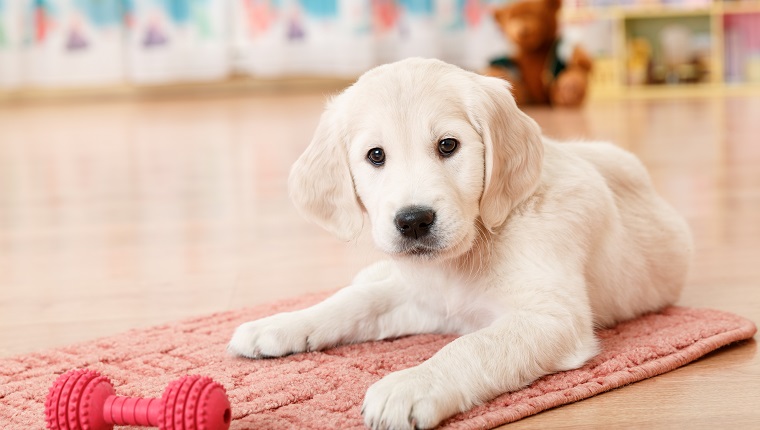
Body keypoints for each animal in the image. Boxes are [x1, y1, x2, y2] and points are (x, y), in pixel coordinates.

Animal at [227, 58, 696, 430]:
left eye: (448, 145)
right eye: (375, 156)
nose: (413, 221)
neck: (473, 245)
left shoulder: (552, 318)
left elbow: (472, 346)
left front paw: (411, 385)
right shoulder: (424, 300)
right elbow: (354, 303)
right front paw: (281, 324)